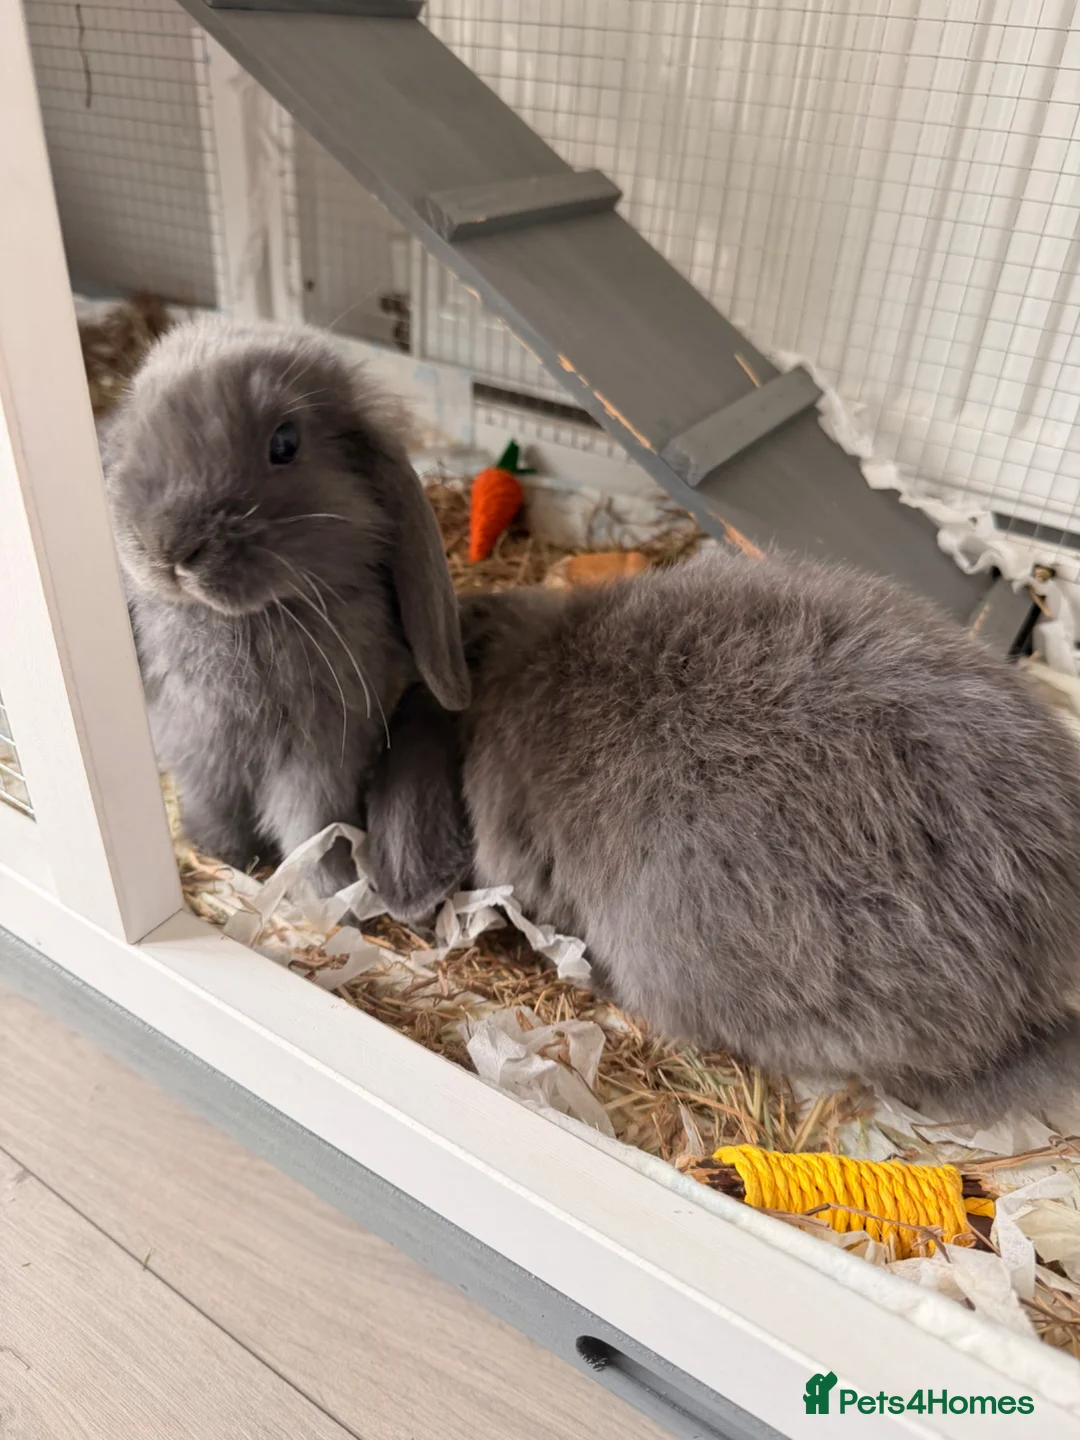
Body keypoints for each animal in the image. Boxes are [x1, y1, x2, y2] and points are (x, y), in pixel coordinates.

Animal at [100, 316, 469, 890]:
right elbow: (216, 809)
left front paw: (330, 888)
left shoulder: (318, 757)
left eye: (286, 442)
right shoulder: (197, 750)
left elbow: (310, 827)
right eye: (139, 418)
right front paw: (226, 858)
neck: (247, 618)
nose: (169, 548)